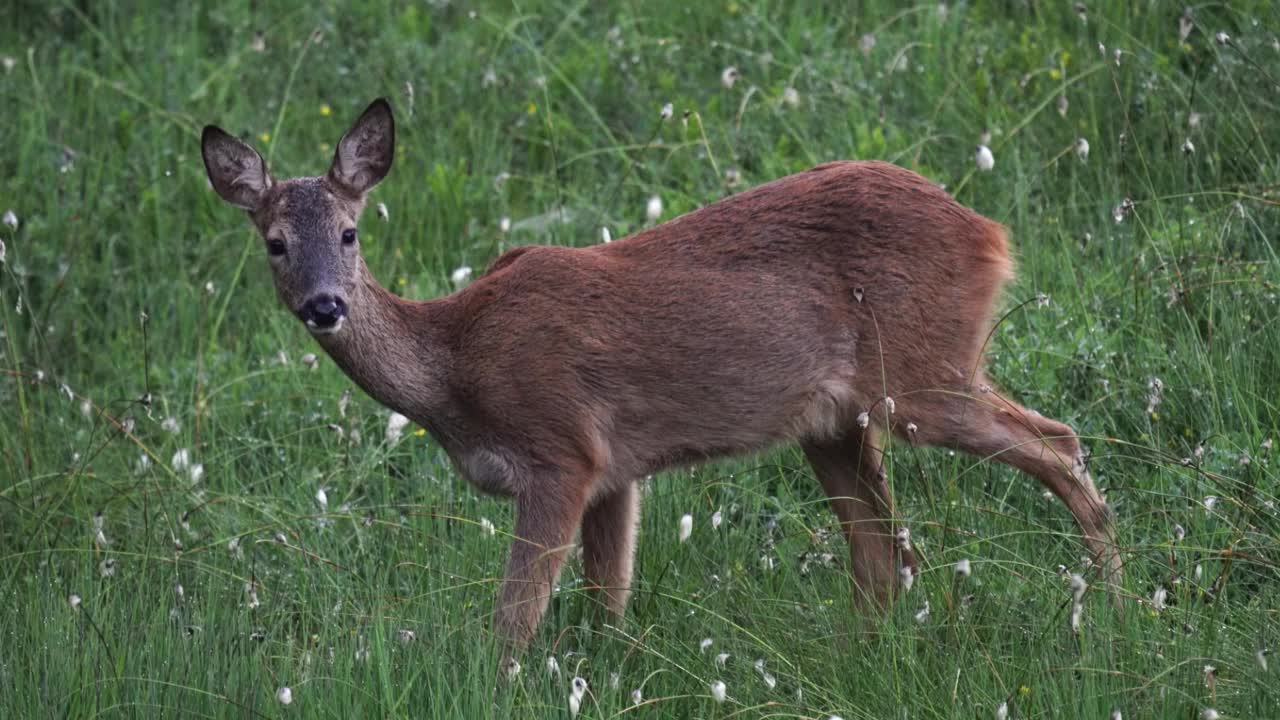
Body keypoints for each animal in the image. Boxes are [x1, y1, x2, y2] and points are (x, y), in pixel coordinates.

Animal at [199, 96, 1121, 650]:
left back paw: (1110, 598)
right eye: (274, 242)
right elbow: (608, 605)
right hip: (837, 421)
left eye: (350, 233)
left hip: (924, 374)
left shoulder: (561, 452)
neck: (455, 365)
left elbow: (513, 622)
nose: (325, 305)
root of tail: (988, 230)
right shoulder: (616, 472)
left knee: (1059, 441)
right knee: (885, 553)